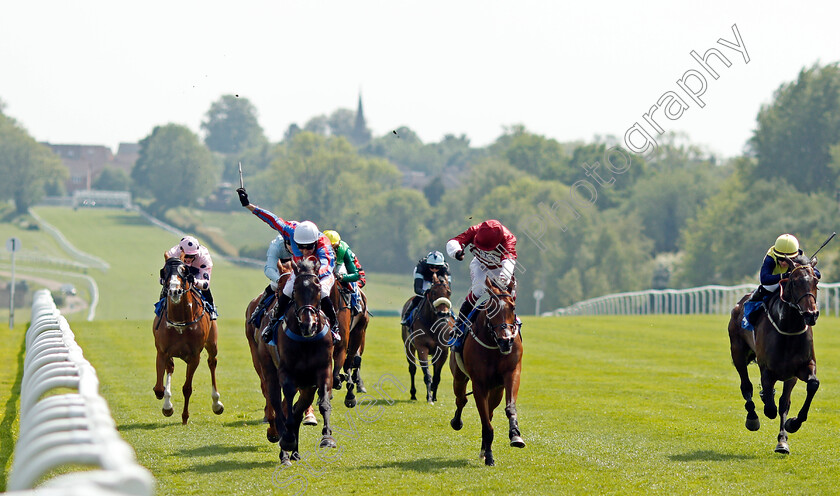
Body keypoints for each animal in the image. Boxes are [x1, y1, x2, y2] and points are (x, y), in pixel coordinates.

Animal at [152, 258, 223, 424]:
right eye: (165, 271)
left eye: (184, 271)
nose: (174, 291)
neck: (180, 321)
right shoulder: (162, 352)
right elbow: (159, 388)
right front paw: (167, 405)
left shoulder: (194, 356)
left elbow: (187, 388)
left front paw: (185, 417)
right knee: (170, 368)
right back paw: (167, 405)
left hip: (212, 344)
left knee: (212, 363)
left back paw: (216, 403)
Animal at [254, 258, 336, 464]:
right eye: (296, 289)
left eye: (317, 288)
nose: (309, 325)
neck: (305, 340)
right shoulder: (286, 372)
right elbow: (287, 407)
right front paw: (287, 440)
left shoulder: (323, 370)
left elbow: (323, 403)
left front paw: (327, 437)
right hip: (269, 370)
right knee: (277, 404)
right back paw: (284, 448)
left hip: (307, 385)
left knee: (298, 409)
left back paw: (294, 452)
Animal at [400, 272, 452, 404]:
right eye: (433, 292)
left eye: (449, 292)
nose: (443, 314)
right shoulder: (422, 348)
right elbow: (427, 374)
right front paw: (429, 398)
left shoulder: (443, 350)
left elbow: (437, 376)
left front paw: (434, 396)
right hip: (409, 347)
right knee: (412, 369)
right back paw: (413, 394)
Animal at [450, 278, 520, 466]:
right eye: (490, 309)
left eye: (513, 307)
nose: (506, 341)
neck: (494, 344)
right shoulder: (479, 383)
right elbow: (486, 423)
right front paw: (489, 456)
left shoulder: (512, 373)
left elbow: (509, 407)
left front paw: (515, 435)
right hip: (459, 377)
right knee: (461, 399)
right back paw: (457, 422)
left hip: (496, 390)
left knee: (490, 411)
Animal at [728, 258, 820, 456]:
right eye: (794, 282)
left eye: (816, 281)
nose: (811, 314)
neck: (789, 328)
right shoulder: (767, 369)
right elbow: (770, 408)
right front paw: (764, 402)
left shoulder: (801, 367)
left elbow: (811, 386)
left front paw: (793, 424)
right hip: (737, 352)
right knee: (746, 386)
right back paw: (752, 417)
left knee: (784, 402)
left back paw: (782, 441)